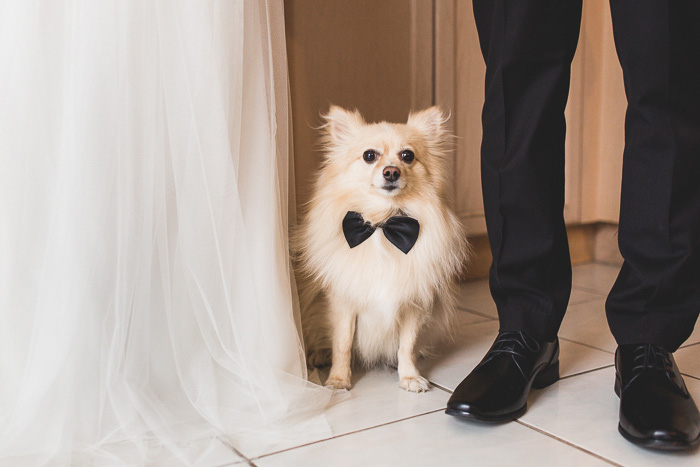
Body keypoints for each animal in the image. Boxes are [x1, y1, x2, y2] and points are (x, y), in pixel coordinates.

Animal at [292, 105, 468, 392]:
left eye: (408, 156)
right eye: (369, 156)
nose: (391, 172)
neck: (382, 224)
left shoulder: (413, 303)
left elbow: (407, 345)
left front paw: (409, 376)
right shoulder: (343, 302)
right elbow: (342, 343)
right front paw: (338, 380)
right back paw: (318, 355)